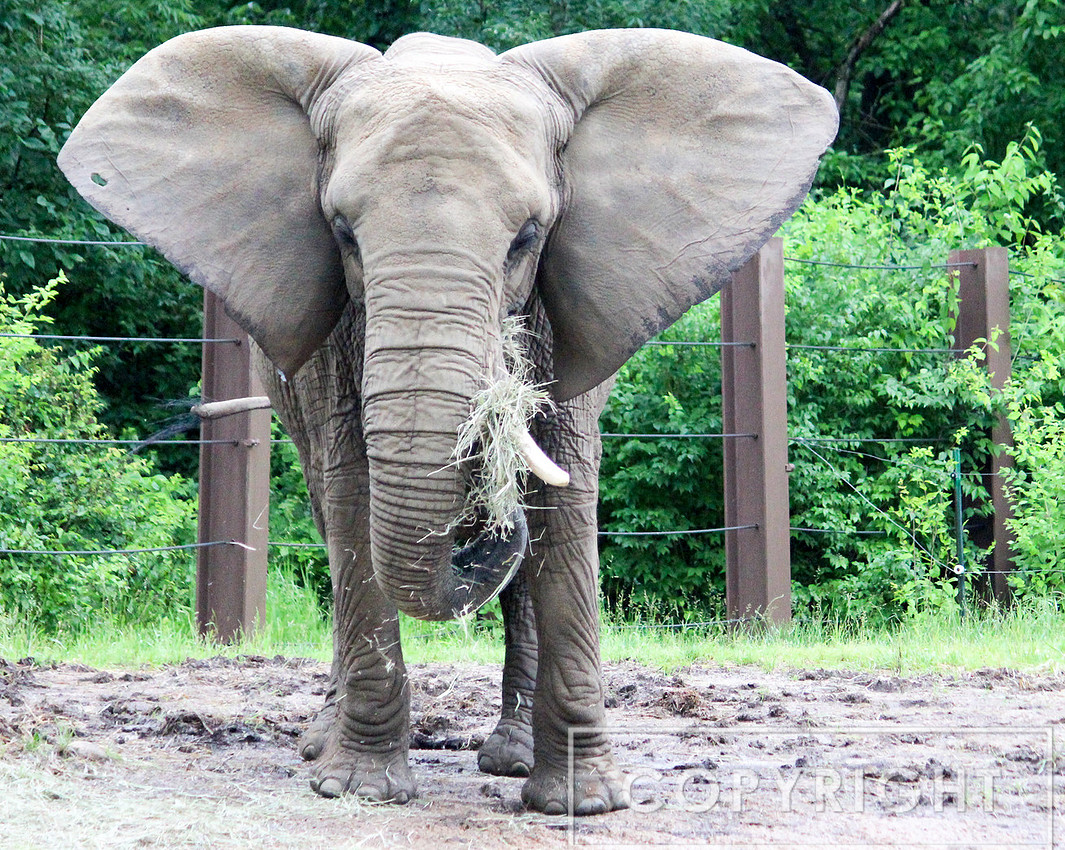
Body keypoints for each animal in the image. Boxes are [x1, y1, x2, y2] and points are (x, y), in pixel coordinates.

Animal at [58, 26, 837, 815]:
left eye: (527, 236)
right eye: (341, 232)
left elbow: (564, 501)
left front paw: (583, 803)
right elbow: (354, 495)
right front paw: (359, 787)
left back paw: (509, 756)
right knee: (332, 517)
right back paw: (323, 742)